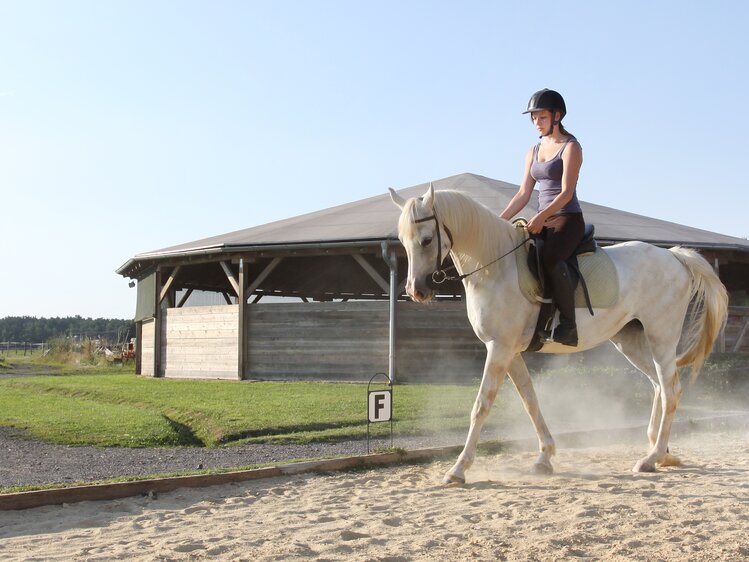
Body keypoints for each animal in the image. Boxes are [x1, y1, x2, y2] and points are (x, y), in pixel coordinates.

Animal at [388, 184, 728, 482]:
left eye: (427, 240)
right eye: (403, 241)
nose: (416, 291)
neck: (494, 267)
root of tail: (673, 257)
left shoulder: (499, 348)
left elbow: (481, 405)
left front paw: (458, 469)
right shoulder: (509, 352)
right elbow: (530, 400)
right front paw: (545, 457)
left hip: (661, 337)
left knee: (671, 390)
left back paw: (651, 457)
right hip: (631, 341)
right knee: (659, 386)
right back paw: (660, 451)